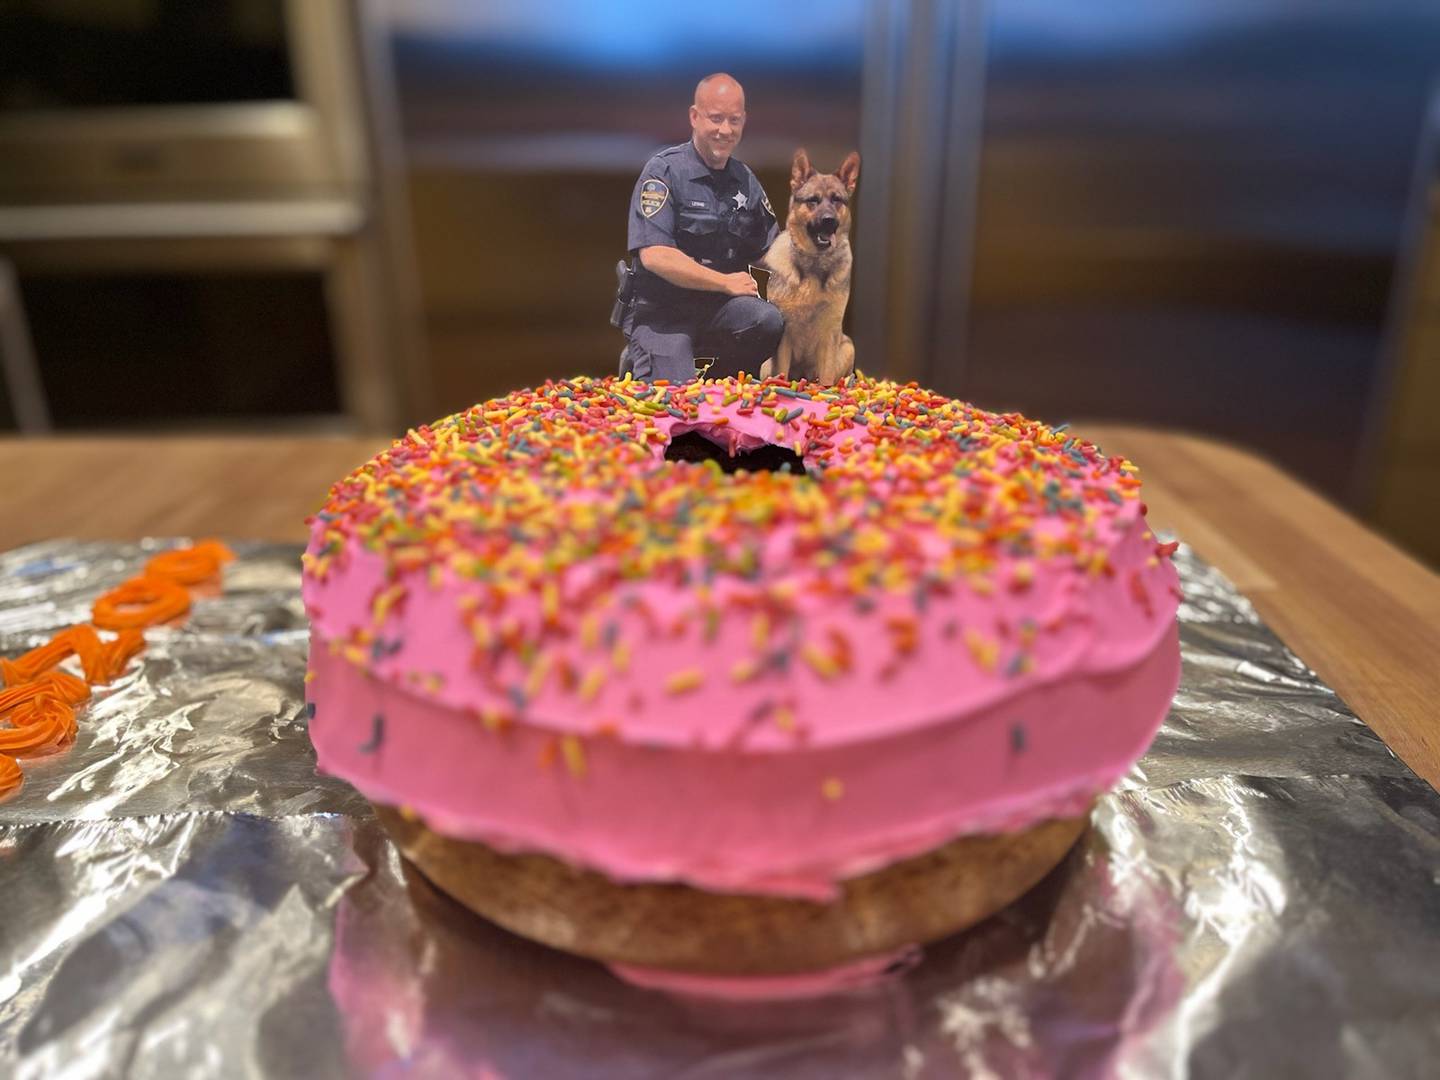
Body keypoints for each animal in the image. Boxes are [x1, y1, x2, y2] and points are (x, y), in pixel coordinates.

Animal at [760, 148, 858, 385]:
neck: (815, 262)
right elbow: (782, 372)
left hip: (848, 346)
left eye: (837, 199)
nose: (829, 220)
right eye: (813, 200)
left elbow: (826, 378)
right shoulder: (785, 334)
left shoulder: (830, 332)